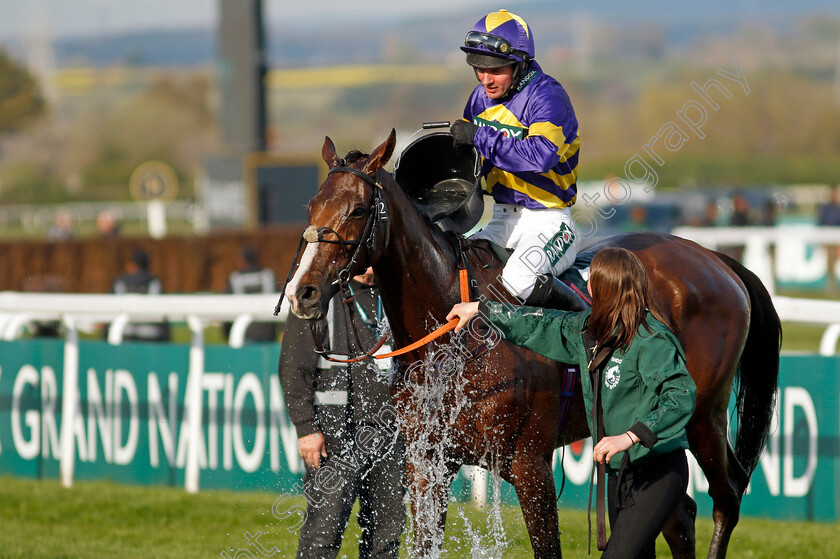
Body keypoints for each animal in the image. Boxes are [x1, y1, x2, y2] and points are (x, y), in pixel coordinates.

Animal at [282, 129, 780, 556]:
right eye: (310, 207)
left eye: (358, 210)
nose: (303, 292)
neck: (450, 343)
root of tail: (714, 257)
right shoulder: (427, 464)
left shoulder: (529, 466)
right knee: (679, 517)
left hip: (703, 416)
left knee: (726, 497)